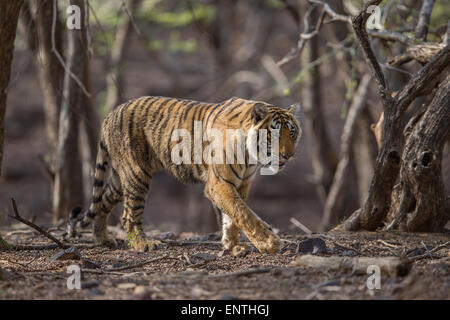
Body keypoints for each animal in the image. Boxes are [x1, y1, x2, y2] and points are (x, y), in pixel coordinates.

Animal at [72, 95, 300, 255]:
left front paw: (233, 246)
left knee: (102, 201)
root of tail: (111, 114)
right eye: (274, 134)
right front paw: (269, 244)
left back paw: (102, 238)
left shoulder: (241, 184)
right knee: (129, 215)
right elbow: (244, 213)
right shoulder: (219, 184)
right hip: (136, 174)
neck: (250, 153)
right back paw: (143, 243)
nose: (289, 155)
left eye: (293, 132)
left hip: (120, 180)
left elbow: (233, 216)